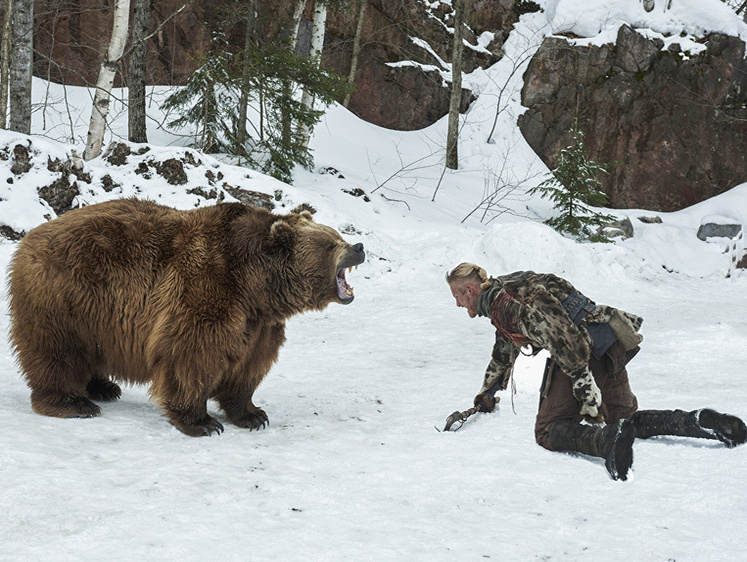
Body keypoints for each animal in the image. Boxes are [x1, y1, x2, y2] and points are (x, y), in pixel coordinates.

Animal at [8, 197, 366, 434]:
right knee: (57, 351)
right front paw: (202, 421)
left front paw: (253, 414)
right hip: (66, 296)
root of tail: (29, 239)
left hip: (93, 312)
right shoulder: (207, 289)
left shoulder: (259, 323)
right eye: (330, 243)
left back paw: (103, 387)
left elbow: (249, 366)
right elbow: (192, 354)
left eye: (338, 235)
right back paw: (72, 402)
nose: (359, 246)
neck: (256, 286)